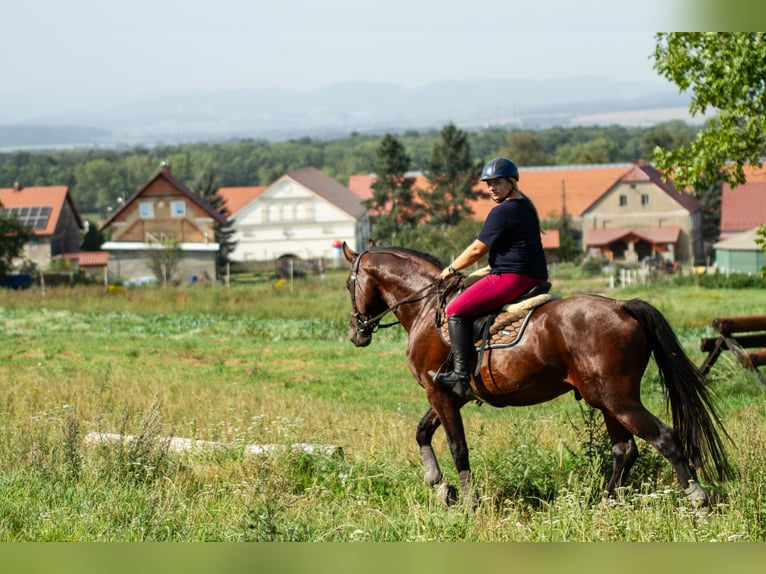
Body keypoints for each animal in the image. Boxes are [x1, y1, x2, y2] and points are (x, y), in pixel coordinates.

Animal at [344, 243, 736, 508]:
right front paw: (437, 482)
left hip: (618, 400)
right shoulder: (447, 394)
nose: (356, 333)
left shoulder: (439, 392)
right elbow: (423, 431)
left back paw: (697, 499)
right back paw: (605, 503)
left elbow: (457, 446)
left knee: (664, 438)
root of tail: (623, 306)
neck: (427, 306)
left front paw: (467, 499)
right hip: (608, 401)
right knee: (624, 450)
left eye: (350, 285)